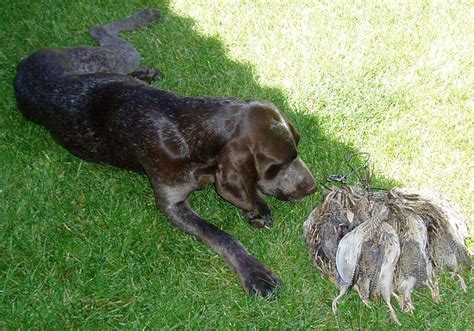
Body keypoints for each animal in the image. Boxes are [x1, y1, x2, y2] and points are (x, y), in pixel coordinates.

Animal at [14, 9, 316, 296]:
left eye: (297, 146)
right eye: (277, 165)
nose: (313, 187)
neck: (189, 132)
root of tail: (24, 63)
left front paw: (255, 205)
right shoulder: (172, 205)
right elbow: (220, 235)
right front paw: (254, 272)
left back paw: (144, 72)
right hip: (112, 56)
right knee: (100, 30)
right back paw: (145, 17)